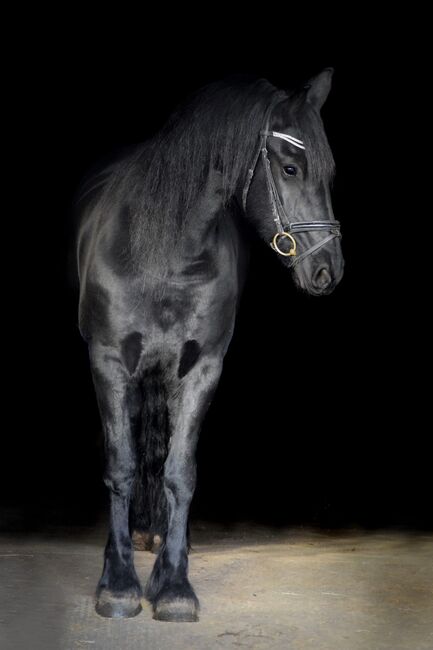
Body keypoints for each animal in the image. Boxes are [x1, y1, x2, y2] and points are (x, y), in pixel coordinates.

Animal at [75, 68, 344, 620]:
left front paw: (174, 586)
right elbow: (121, 465)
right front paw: (118, 584)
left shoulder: (201, 369)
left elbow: (180, 472)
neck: (162, 251)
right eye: (290, 167)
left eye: (328, 171)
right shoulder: (108, 363)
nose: (328, 270)